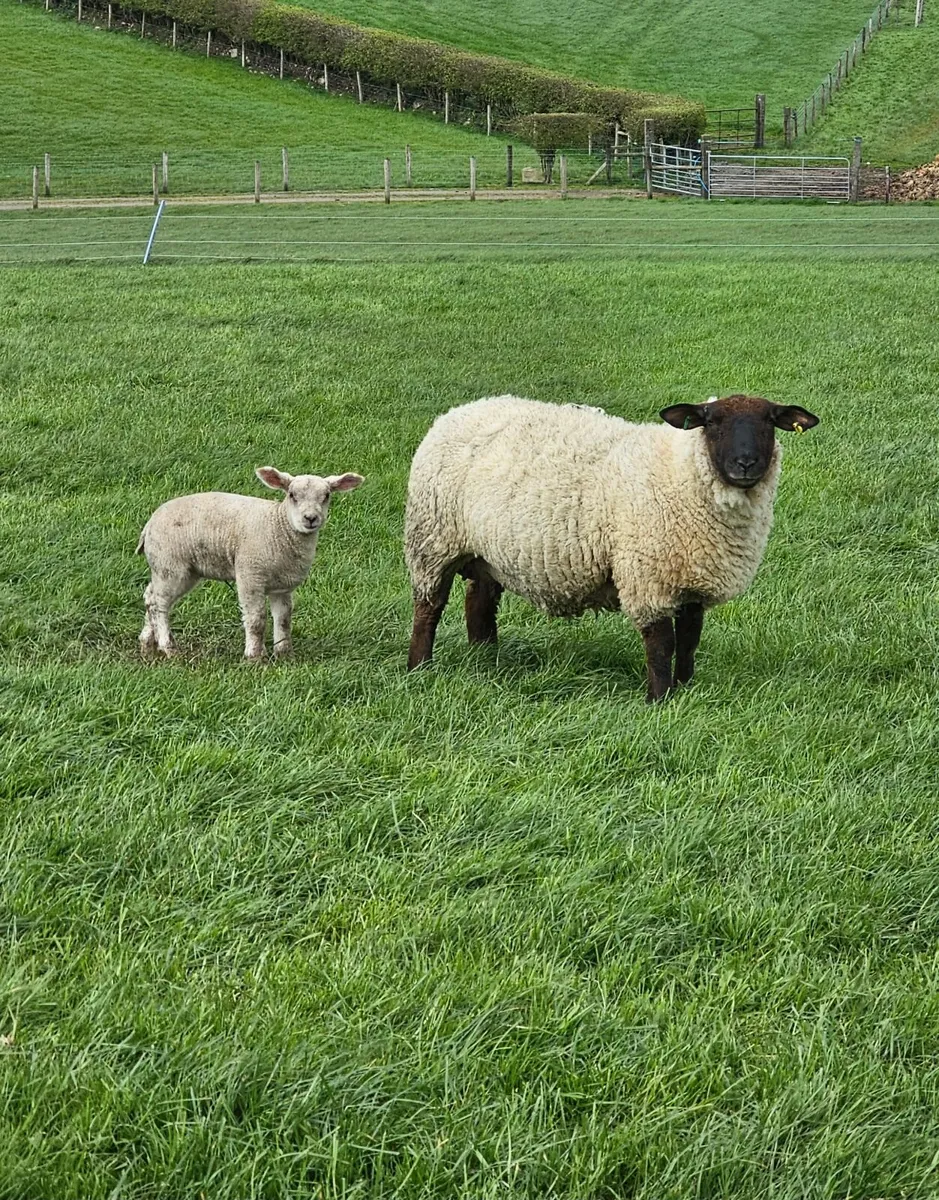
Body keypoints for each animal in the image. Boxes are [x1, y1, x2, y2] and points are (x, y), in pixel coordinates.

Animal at [137, 467, 364, 660]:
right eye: (292, 495)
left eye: (326, 496)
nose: (310, 518)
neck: (278, 526)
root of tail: (148, 526)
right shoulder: (250, 575)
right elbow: (256, 619)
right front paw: (255, 656)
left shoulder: (282, 586)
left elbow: (284, 618)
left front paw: (284, 653)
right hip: (171, 564)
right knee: (159, 604)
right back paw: (168, 647)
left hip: (174, 569)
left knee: (149, 596)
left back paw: (148, 643)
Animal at [404, 394, 818, 701]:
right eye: (711, 422)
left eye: (769, 422)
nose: (745, 463)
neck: (680, 473)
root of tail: (458, 411)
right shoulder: (648, 578)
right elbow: (661, 645)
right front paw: (659, 700)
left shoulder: (690, 580)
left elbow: (689, 639)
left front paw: (685, 689)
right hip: (433, 540)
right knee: (429, 608)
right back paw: (419, 667)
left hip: (490, 550)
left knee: (479, 601)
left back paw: (484, 655)